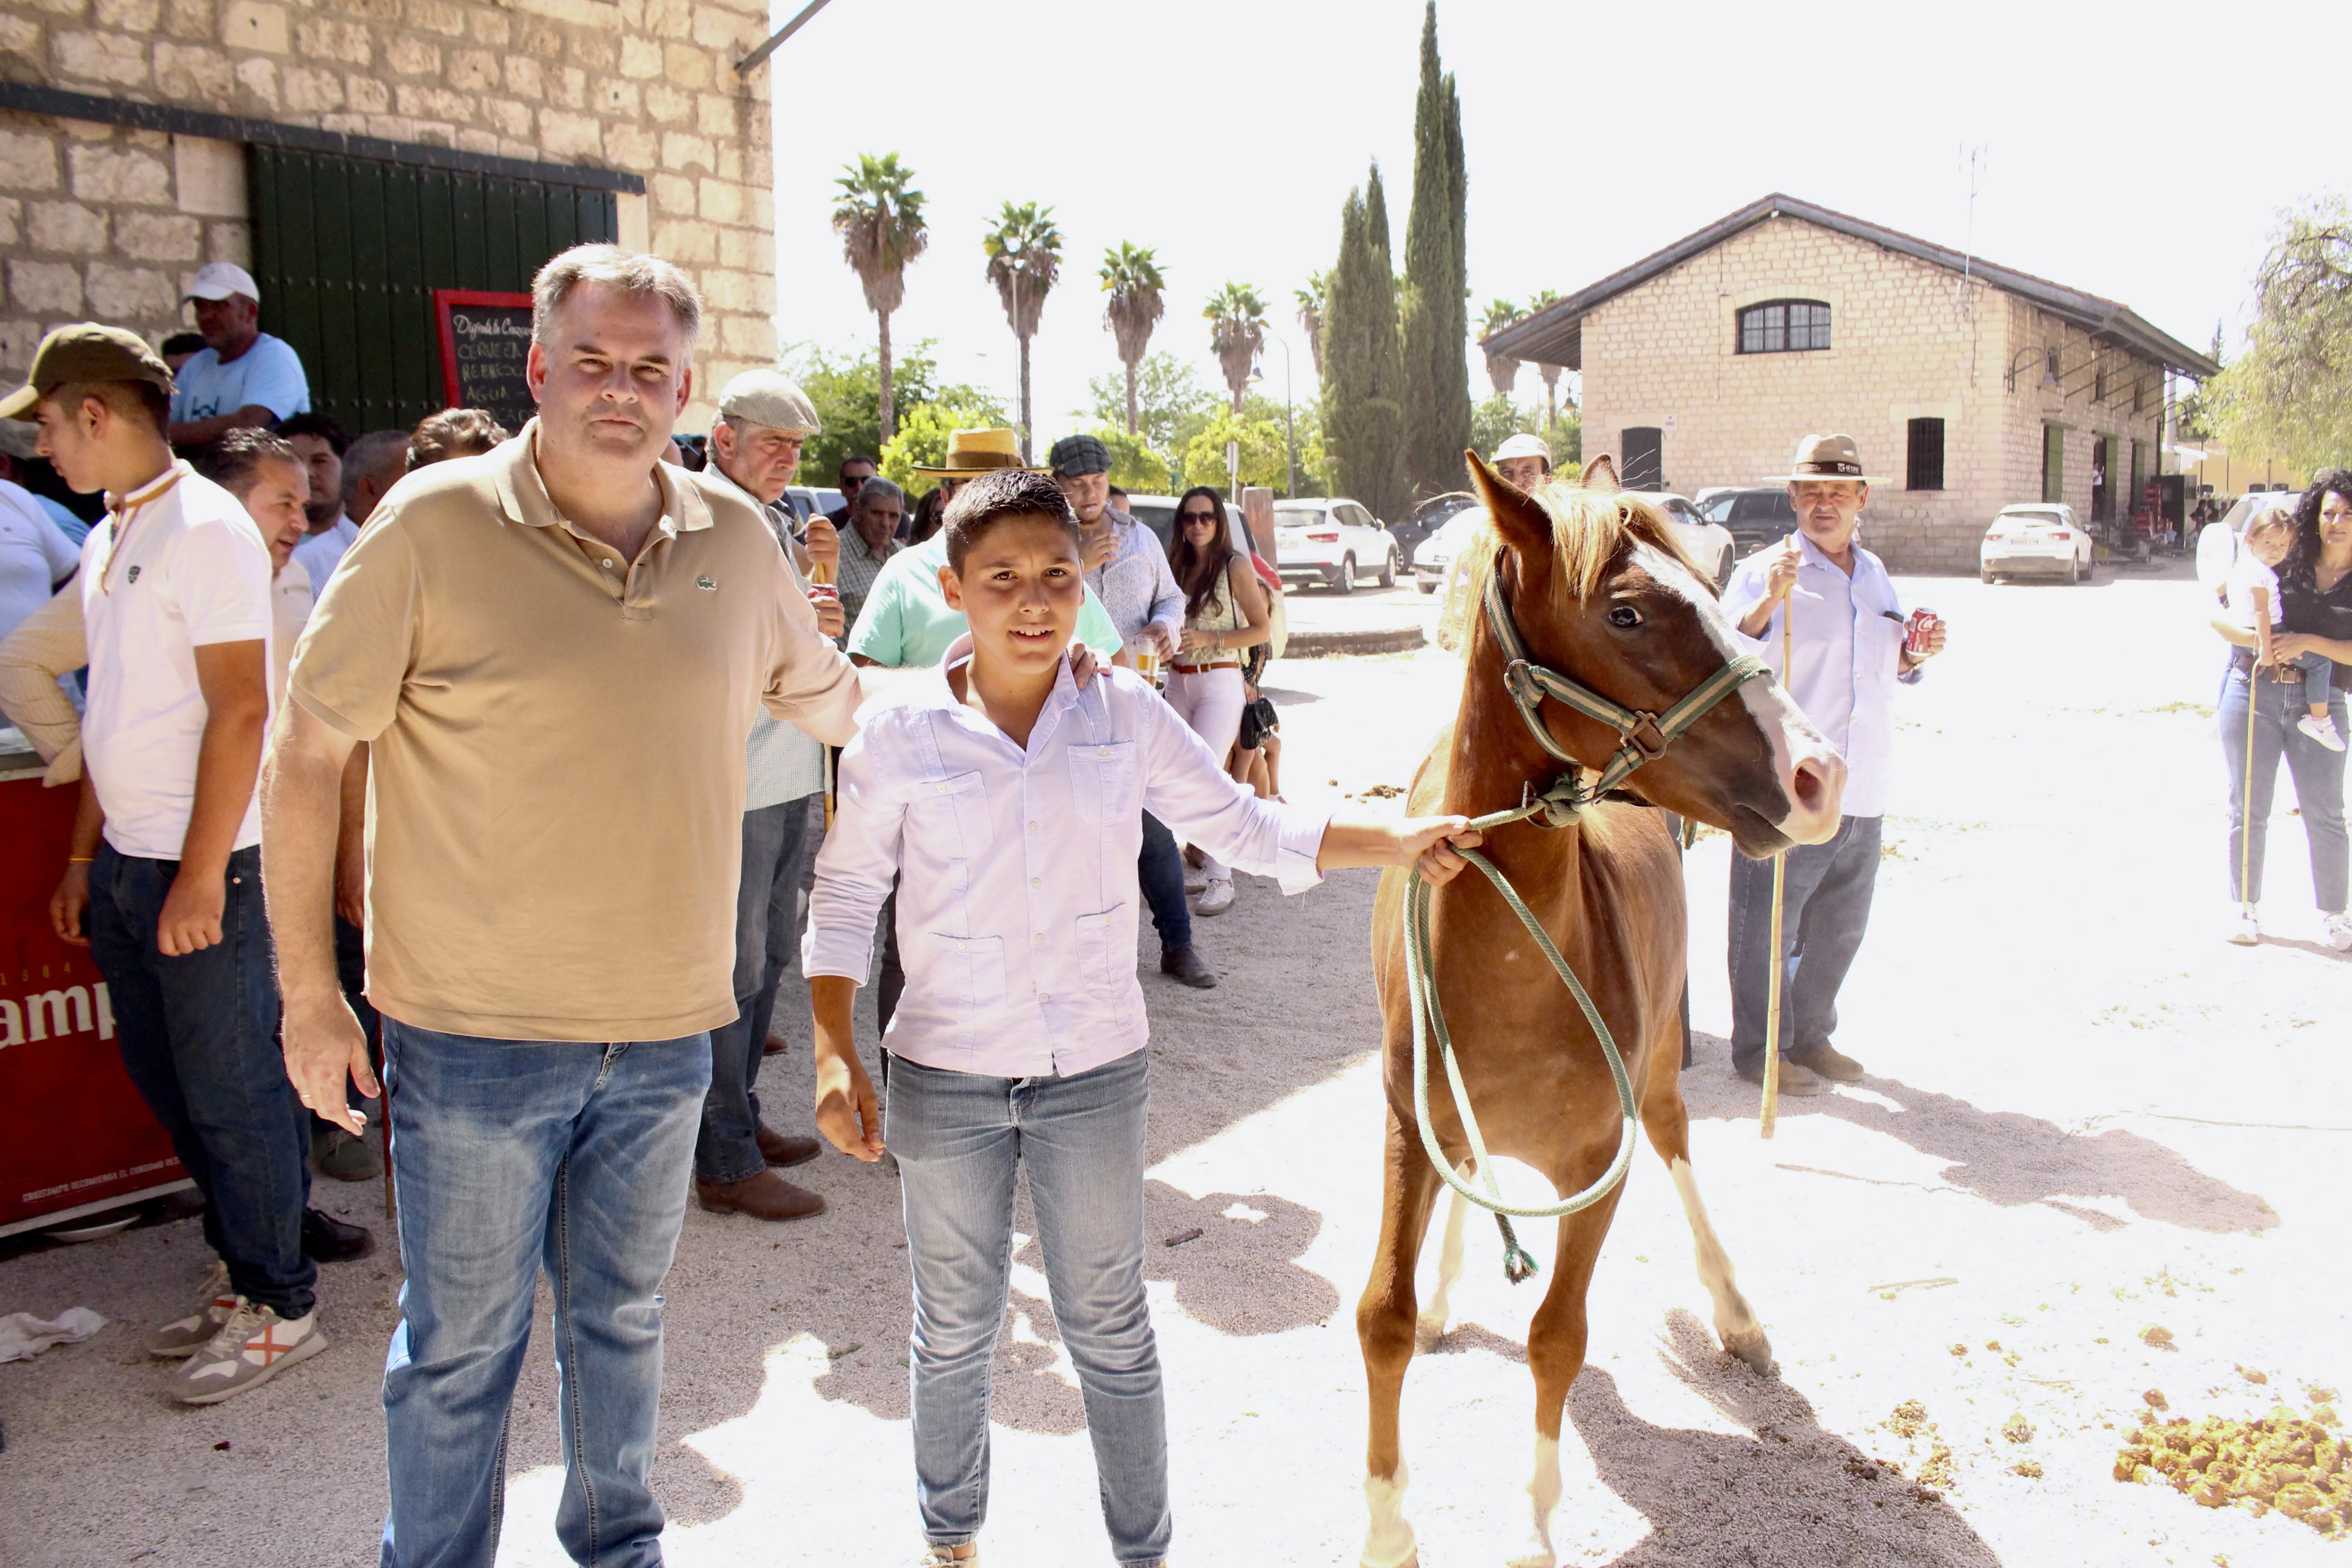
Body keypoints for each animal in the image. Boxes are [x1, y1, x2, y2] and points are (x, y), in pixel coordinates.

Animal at [1364, 461, 1834, 1568]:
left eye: (1713, 585)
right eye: (1625, 611)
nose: (1818, 774)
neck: (1508, 966)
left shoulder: (1597, 1165)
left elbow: (1557, 1336)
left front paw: (1534, 1531)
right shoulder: (1409, 1127)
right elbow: (1384, 1320)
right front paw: (1388, 1530)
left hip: (1657, 1071)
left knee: (1677, 1145)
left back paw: (1736, 1316)